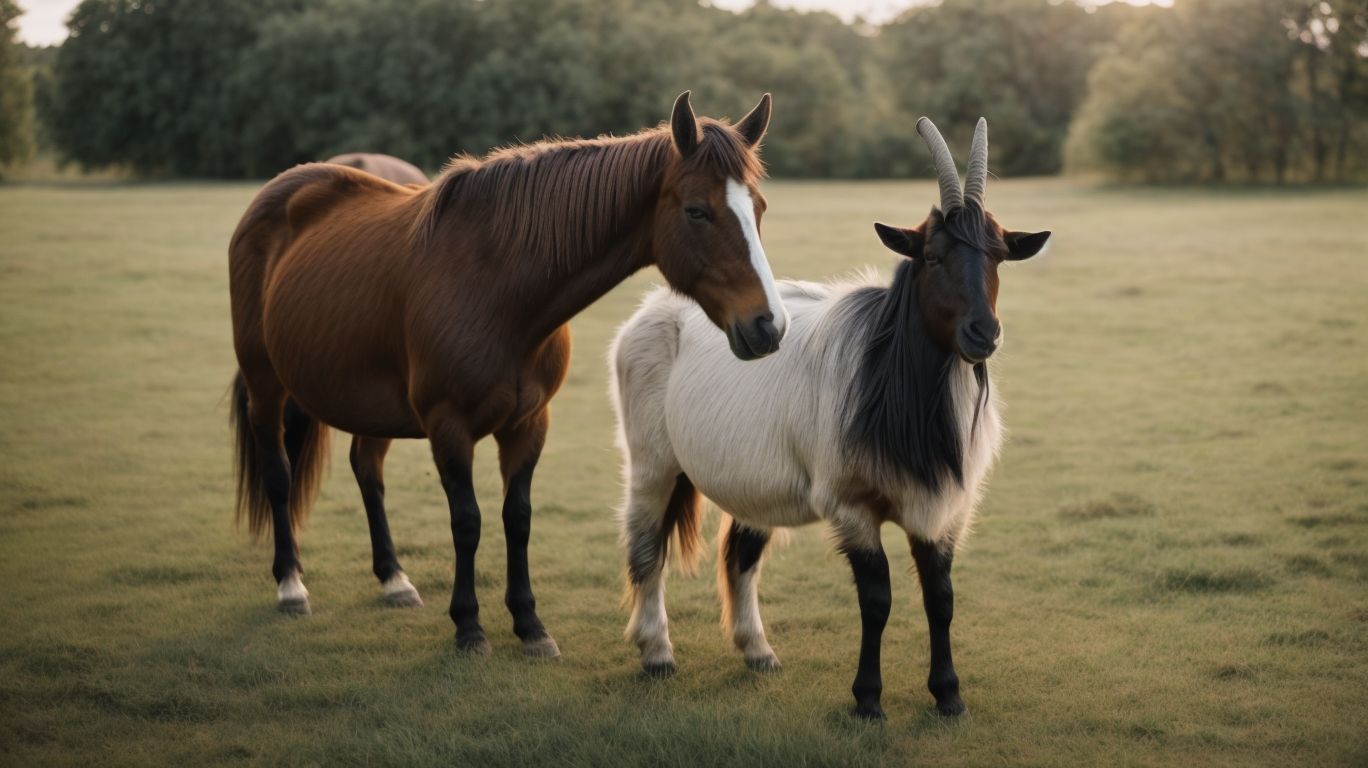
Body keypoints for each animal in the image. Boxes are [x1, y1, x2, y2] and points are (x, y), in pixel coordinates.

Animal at [229, 91, 787, 658]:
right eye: (697, 211)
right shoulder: (448, 428)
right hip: (266, 386)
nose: (768, 325)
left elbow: (517, 519)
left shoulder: (528, 423)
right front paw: (469, 625)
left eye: (758, 208)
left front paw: (529, 624)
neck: (498, 289)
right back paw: (290, 585)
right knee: (278, 474)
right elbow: (467, 521)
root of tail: (280, 191)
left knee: (367, 472)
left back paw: (393, 579)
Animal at [610, 117, 1050, 718]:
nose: (983, 334)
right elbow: (877, 599)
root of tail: (654, 309)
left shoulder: (942, 510)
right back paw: (656, 651)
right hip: (652, 461)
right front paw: (868, 700)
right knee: (645, 541)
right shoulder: (851, 506)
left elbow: (940, 598)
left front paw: (949, 695)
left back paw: (757, 650)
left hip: (754, 477)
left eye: (999, 255)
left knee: (741, 552)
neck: (892, 392)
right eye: (933, 256)